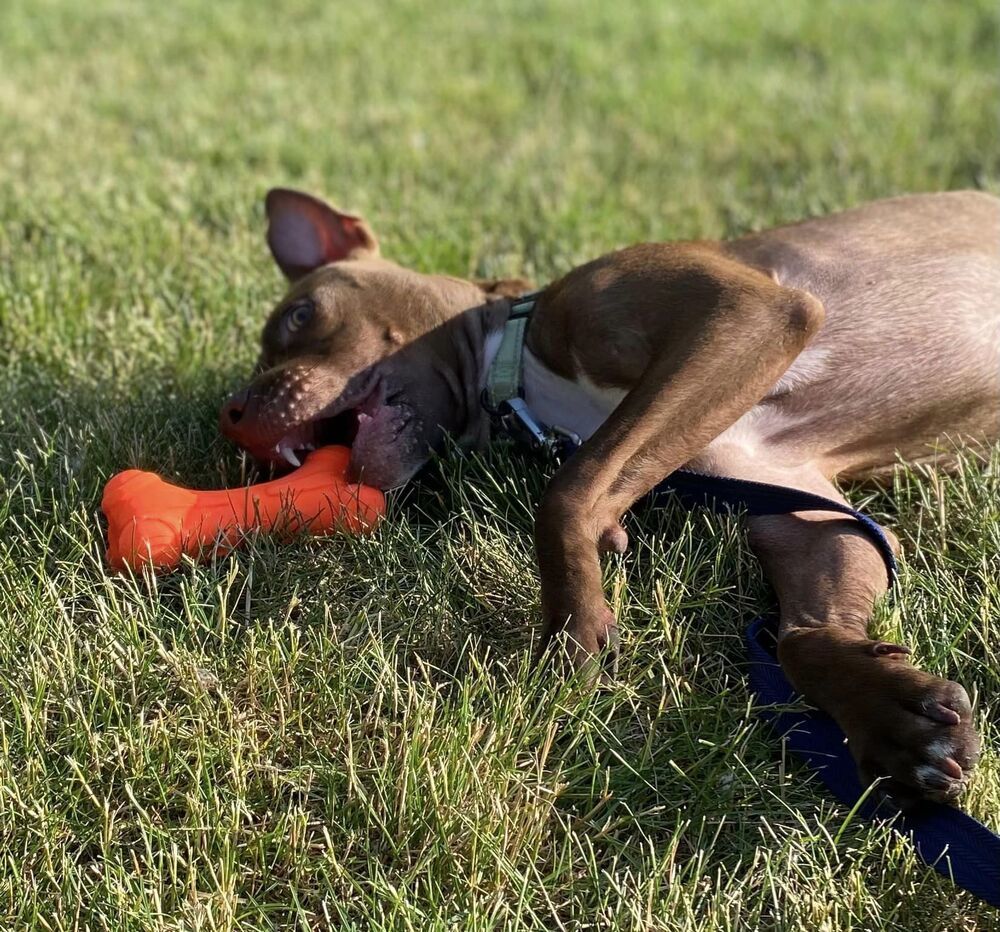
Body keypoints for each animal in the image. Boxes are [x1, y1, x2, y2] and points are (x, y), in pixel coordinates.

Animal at [221, 187, 1000, 800]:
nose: (232, 413)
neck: (515, 358)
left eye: (298, 316)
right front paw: (887, 713)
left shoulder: (746, 312)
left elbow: (567, 489)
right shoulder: (797, 504)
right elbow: (800, 638)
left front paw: (574, 622)